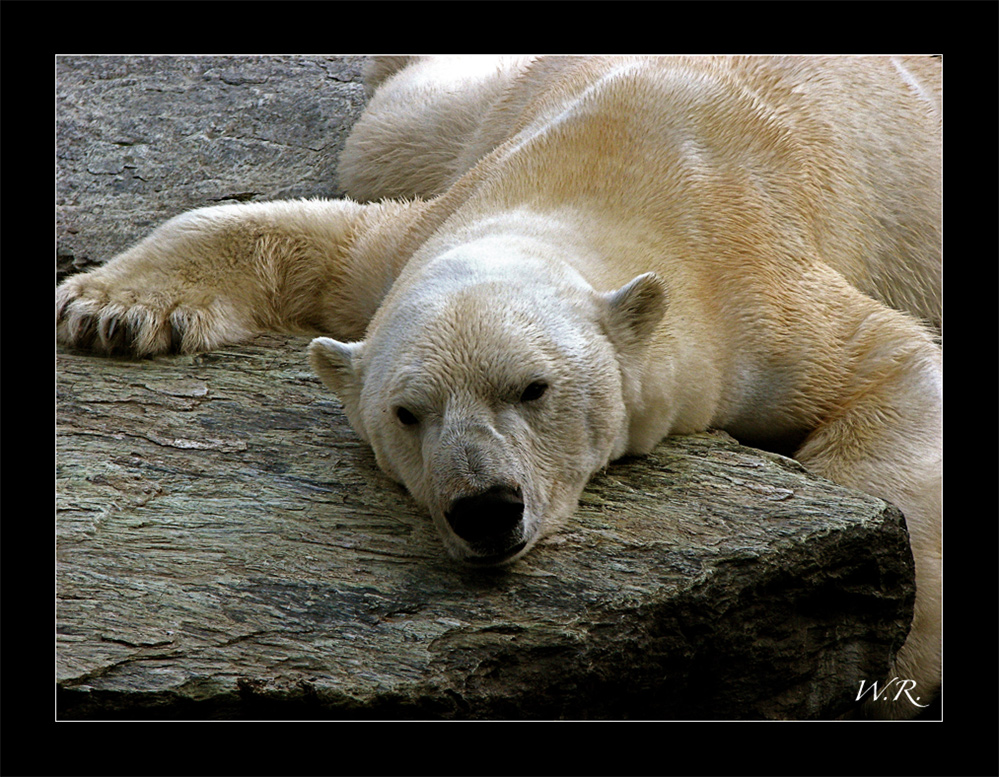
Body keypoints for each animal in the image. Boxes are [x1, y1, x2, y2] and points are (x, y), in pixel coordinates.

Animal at [58, 57, 940, 720]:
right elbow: (303, 233)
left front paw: (886, 649)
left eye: (533, 388)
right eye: (407, 412)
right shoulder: (410, 242)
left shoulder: (754, 292)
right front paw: (106, 310)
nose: (485, 507)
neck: (615, 180)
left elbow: (890, 365)